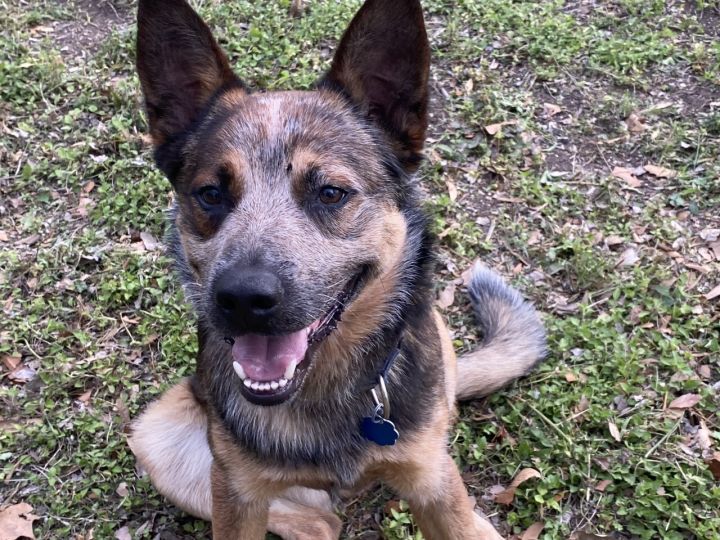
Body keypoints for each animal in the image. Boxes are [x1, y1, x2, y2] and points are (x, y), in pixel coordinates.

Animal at [128, 2, 544, 536]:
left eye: (330, 192)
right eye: (211, 194)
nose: (242, 298)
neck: (320, 392)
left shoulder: (432, 480)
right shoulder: (237, 494)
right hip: (162, 436)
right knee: (322, 523)